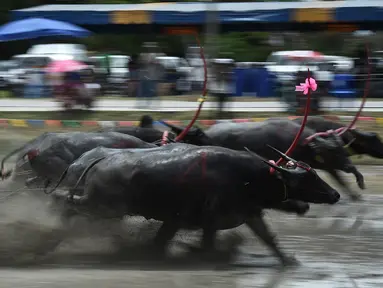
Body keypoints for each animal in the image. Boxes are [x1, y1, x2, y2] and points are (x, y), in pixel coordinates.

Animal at [67, 144, 340, 266]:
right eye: (309, 178)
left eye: (315, 174)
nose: (335, 194)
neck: (248, 177)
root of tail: (100, 160)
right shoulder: (209, 221)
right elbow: (204, 246)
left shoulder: (248, 215)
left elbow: (268, 238)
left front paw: (288, 261)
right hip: (102, 206)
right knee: (68, 203)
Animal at [160, 119, 364, 200]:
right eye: (332, 151)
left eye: (341, 148)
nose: (349, 165)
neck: (302, 143)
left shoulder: (319, 165)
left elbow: (338, 178)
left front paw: (356, 191)